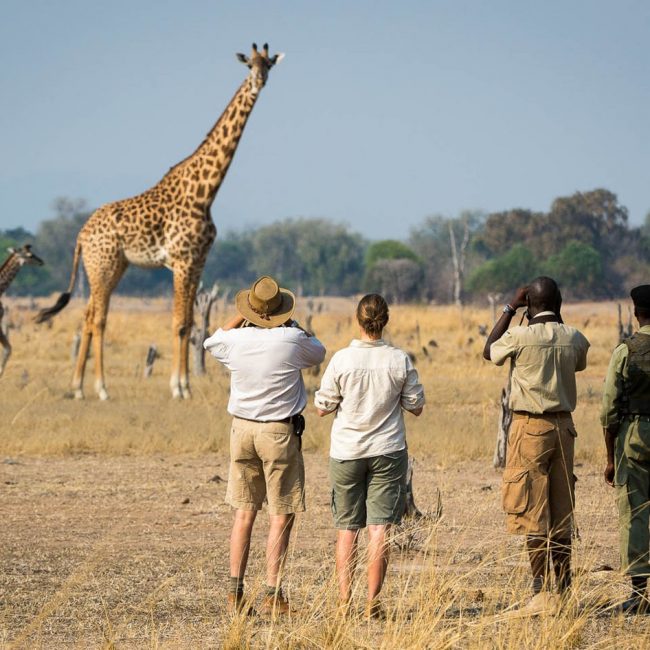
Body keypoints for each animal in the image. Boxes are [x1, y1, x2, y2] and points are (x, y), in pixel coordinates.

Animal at [35, 43, 282, 398]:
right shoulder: (181, 261)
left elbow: (190, 323)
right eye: (249, 65)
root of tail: (81, 235)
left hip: (110, 268)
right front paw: (178, 387)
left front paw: (186, 385)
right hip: (102, 266)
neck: (205, 192)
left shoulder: (197, 262)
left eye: (269, 65)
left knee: (87, 315)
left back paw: (78, 386)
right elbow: (179, 323)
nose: (259, 81)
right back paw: (101, 388)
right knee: (99, 319)